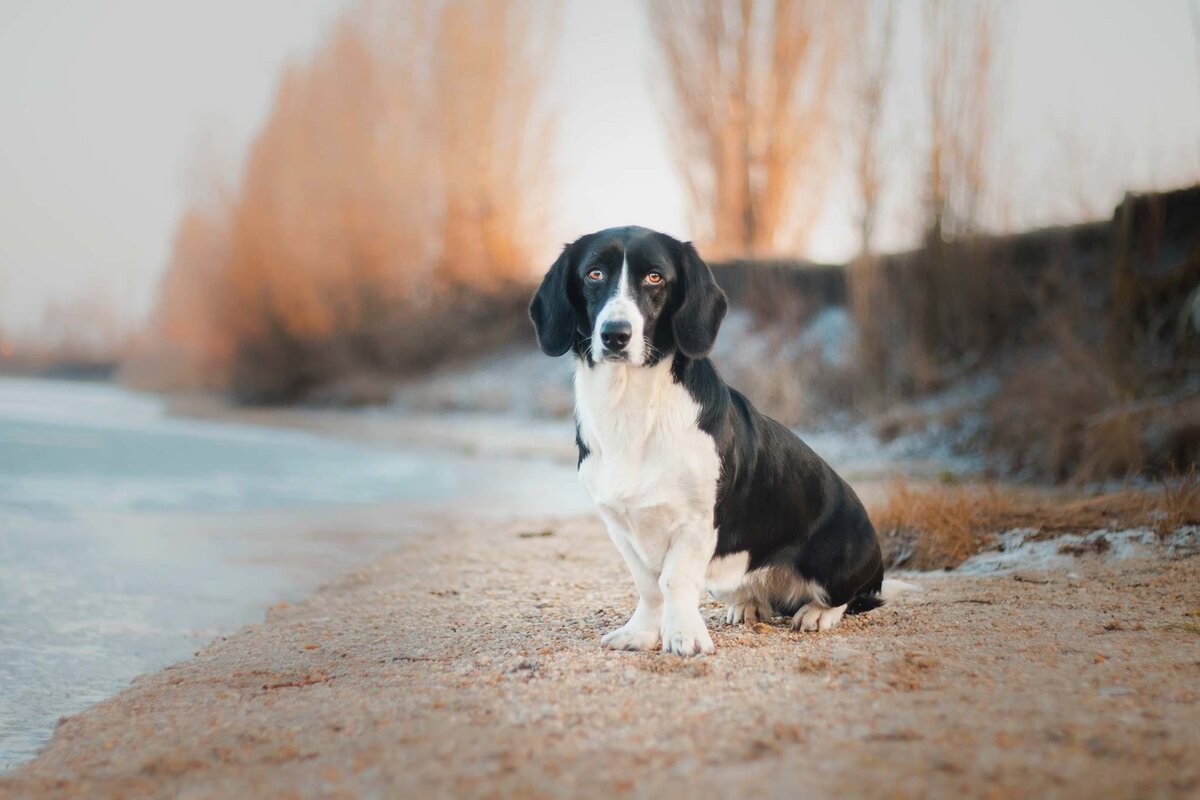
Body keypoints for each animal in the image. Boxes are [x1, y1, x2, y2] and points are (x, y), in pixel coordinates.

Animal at [530, 226, 902, 657]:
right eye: (594, 274)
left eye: (655, 277)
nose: (615, 335)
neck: (633, 406)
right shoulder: (619, 526)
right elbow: (648, 586)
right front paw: (641, 633)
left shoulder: (696, 524)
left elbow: (673, 580)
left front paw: (683, 637)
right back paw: (747, 604)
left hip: (835, 560)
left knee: (852, 597)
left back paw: (816, 613)